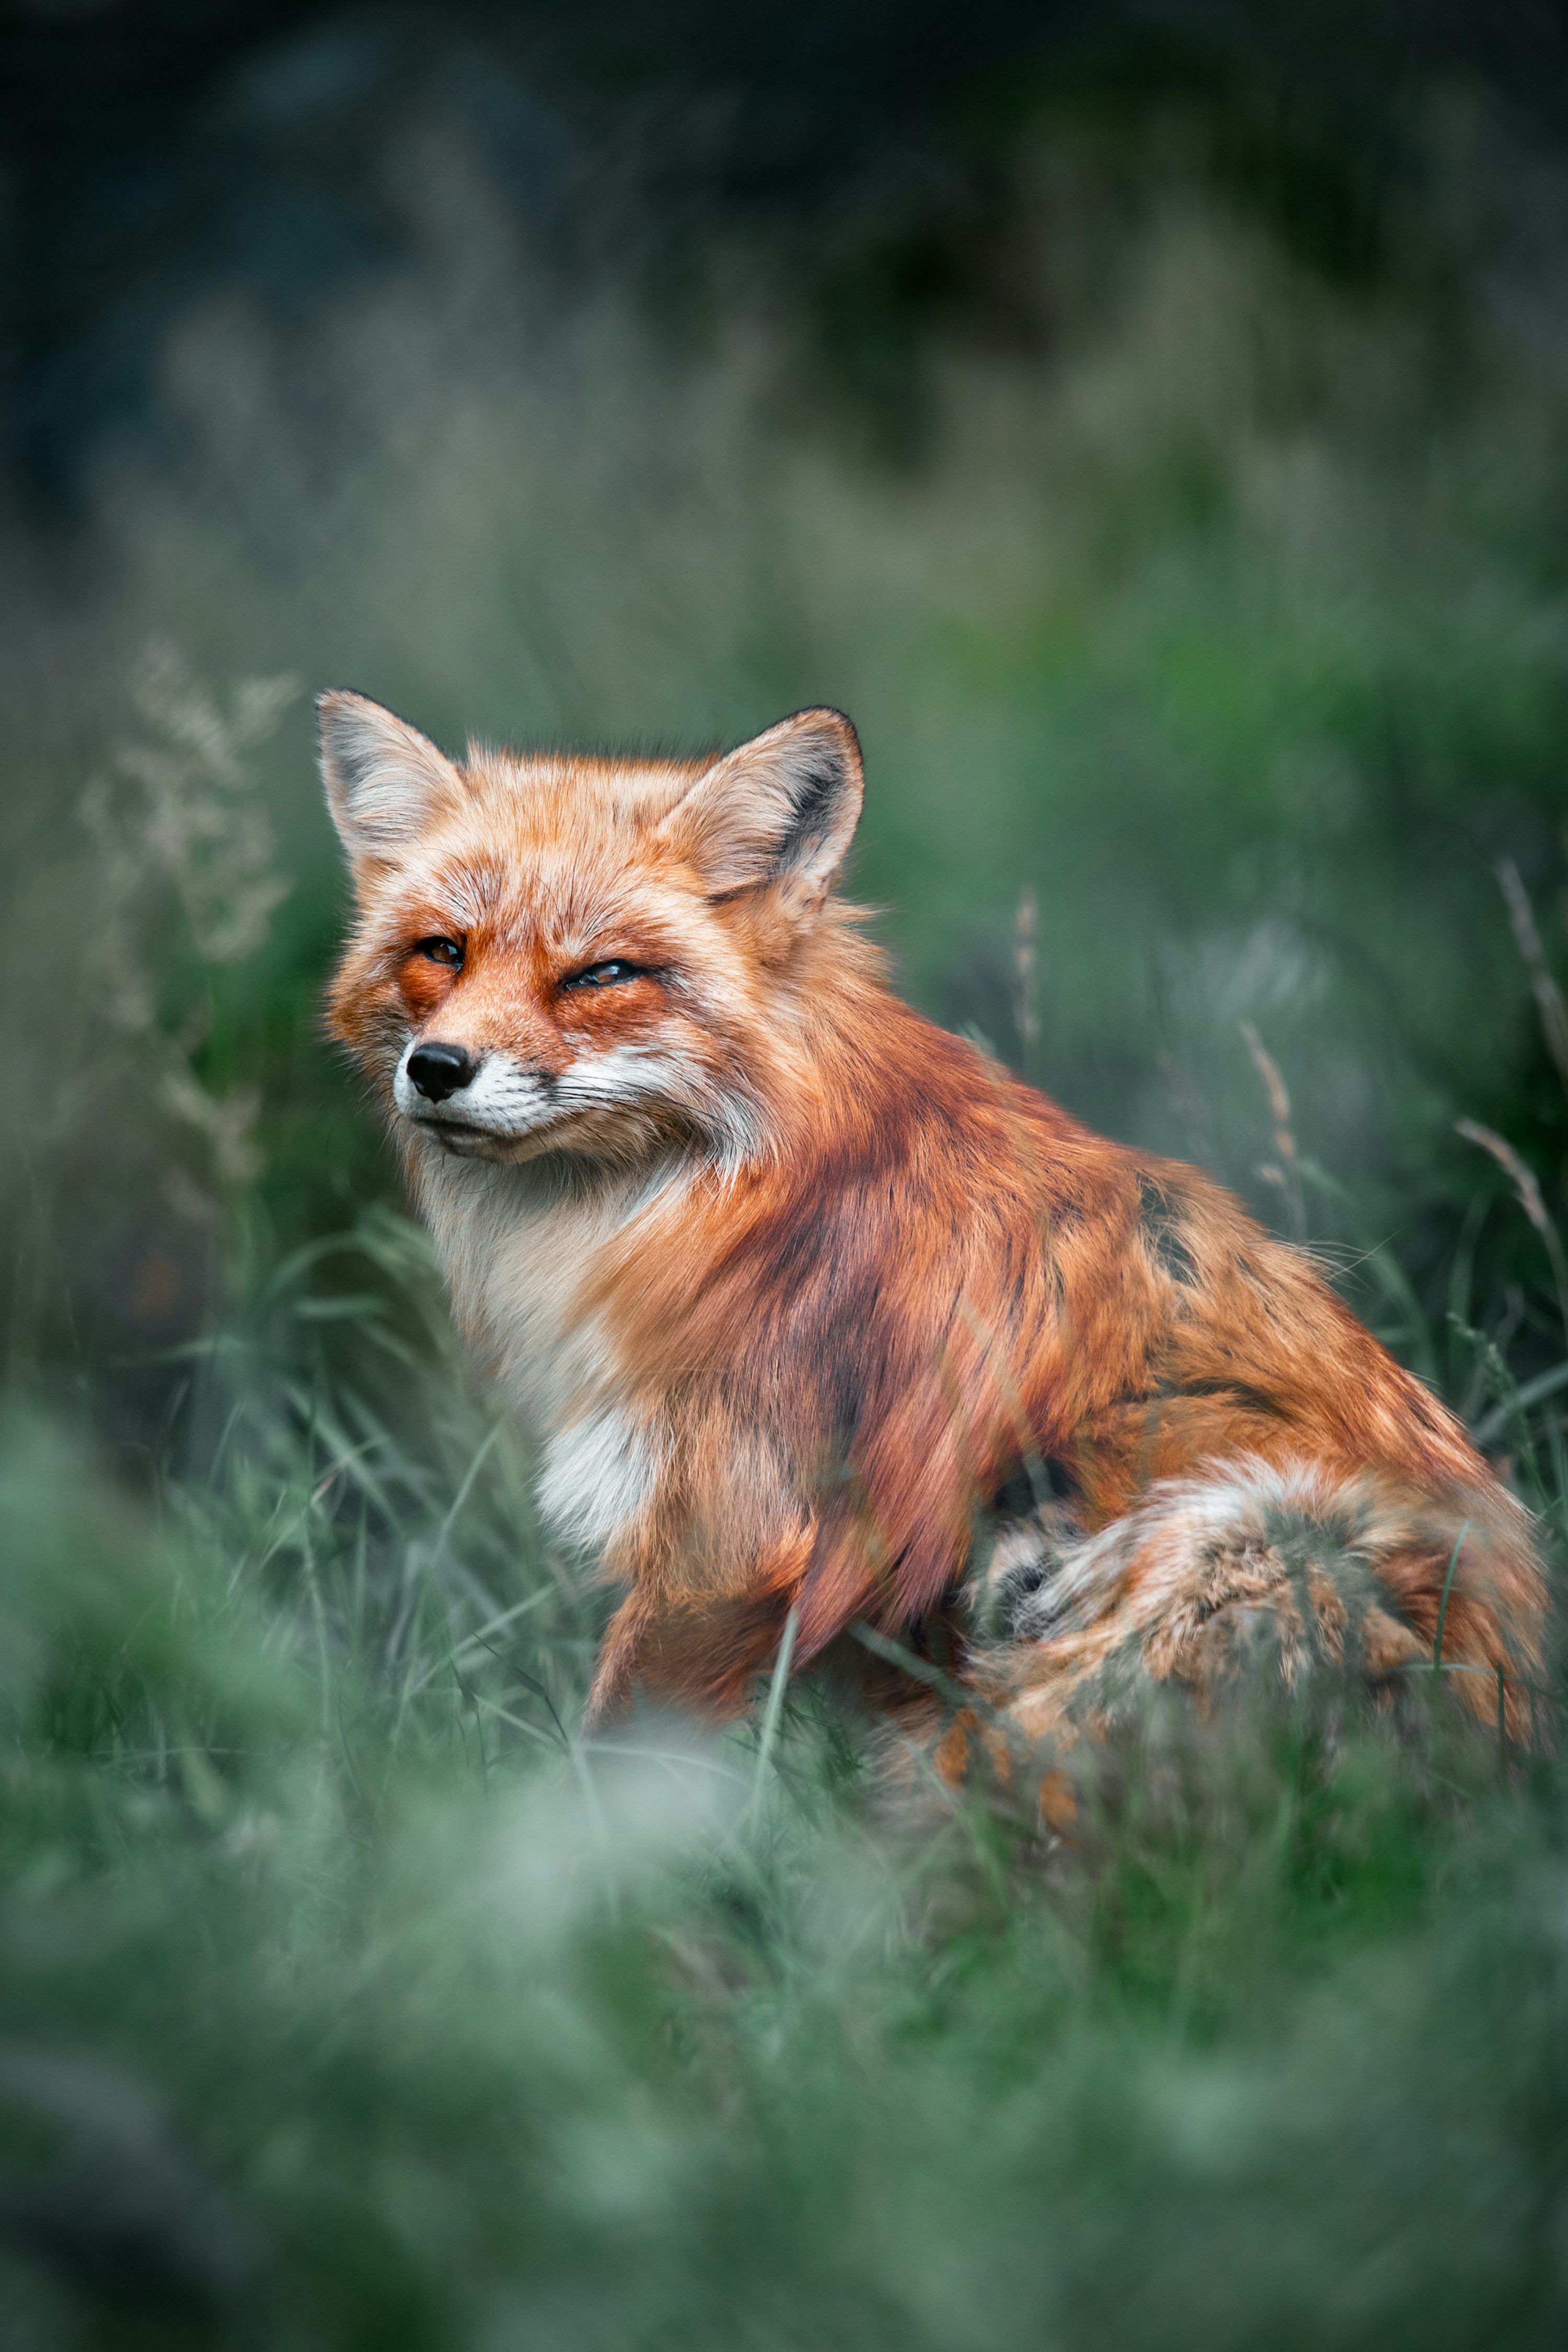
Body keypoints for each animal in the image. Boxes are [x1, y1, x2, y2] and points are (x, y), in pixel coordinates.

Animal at [319, 690, 1546, 1779]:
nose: (438, 1068)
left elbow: (613, 1784)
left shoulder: (735, 1542)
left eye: (602, 974)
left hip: (1243, 1533)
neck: (727, 1190)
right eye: (441, 952)